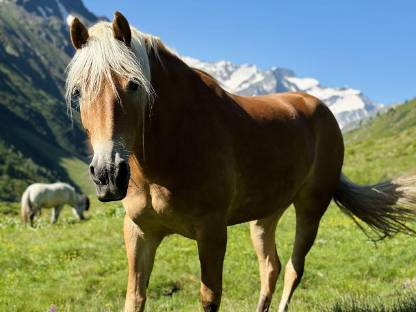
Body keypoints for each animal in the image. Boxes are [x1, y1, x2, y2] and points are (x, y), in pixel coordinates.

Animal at [65, 12, 416, 312]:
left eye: (133, 84)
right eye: (79, 92)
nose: (107, 175)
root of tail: (320, 109)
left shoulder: (212, 232)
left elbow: (210, 298)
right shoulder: (139, 232)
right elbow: (135, 298)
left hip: (311, 209)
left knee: (294, 269)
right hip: (266, 215)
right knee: (271, 266)